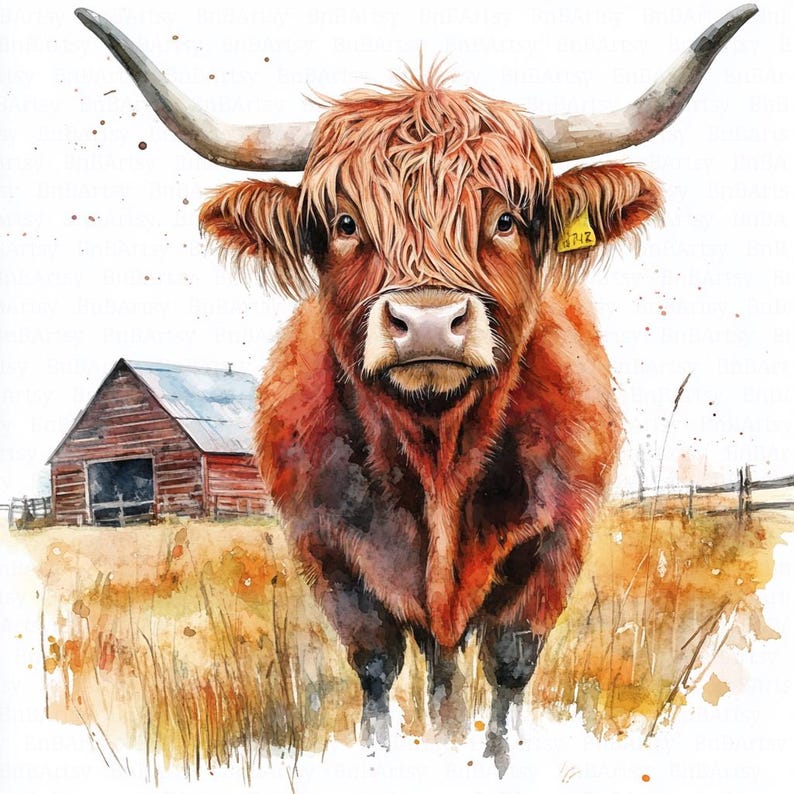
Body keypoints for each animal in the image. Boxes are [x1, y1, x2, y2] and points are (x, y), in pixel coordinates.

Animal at [76, 5, 757, 776]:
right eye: (346, 223)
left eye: (505, 220)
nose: (428, 321)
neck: (437, 455)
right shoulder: (329, 553)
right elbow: (375, 671)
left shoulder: (556, 545)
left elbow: (510, 669)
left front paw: (496, 759)